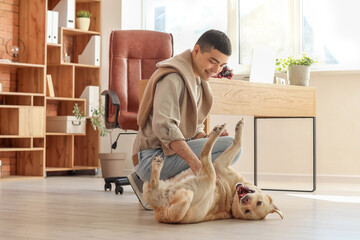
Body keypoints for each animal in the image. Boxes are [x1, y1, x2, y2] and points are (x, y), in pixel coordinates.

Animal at [142, 119, 282, 223]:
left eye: (248, 211)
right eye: (259, 202)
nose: (245, 200)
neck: (232, 194)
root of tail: (164, 212)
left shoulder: (219, 164)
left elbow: (238, 143)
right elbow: (238, 143)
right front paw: (239, 127)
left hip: (209, 175)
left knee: (205, 153)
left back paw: (216, 132)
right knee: (153, 184)